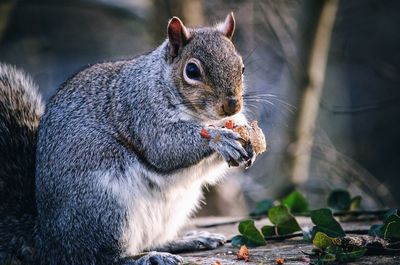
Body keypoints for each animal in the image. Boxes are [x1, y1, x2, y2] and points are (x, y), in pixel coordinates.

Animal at [0, 12, 256, 264]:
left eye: (242, 67)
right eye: (192, 71)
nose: (232, 105)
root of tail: (46, 240)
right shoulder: (142, 111)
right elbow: (165, 148)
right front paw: (219, 138)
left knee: (151, 240)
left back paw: (187, 240)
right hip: (105, 208)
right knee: (103, 256)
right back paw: (147, 258)